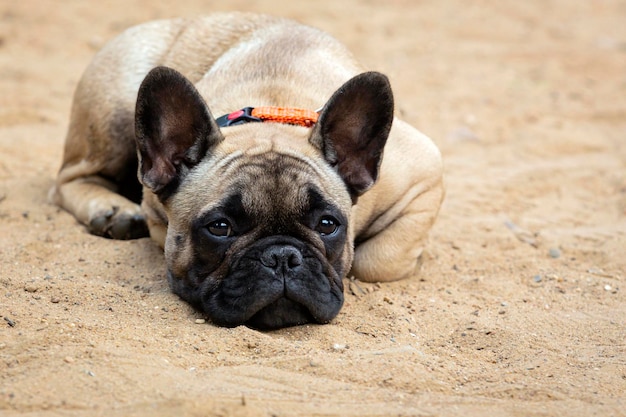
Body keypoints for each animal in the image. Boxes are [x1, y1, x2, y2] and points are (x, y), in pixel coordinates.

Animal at [52, 13, 444, 328]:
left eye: (327, 225)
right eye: (220, 228)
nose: (282, 256)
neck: (273, 114)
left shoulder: (424, 177)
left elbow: (375, 262)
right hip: (112, 114)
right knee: (71, 177)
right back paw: (113, 210)